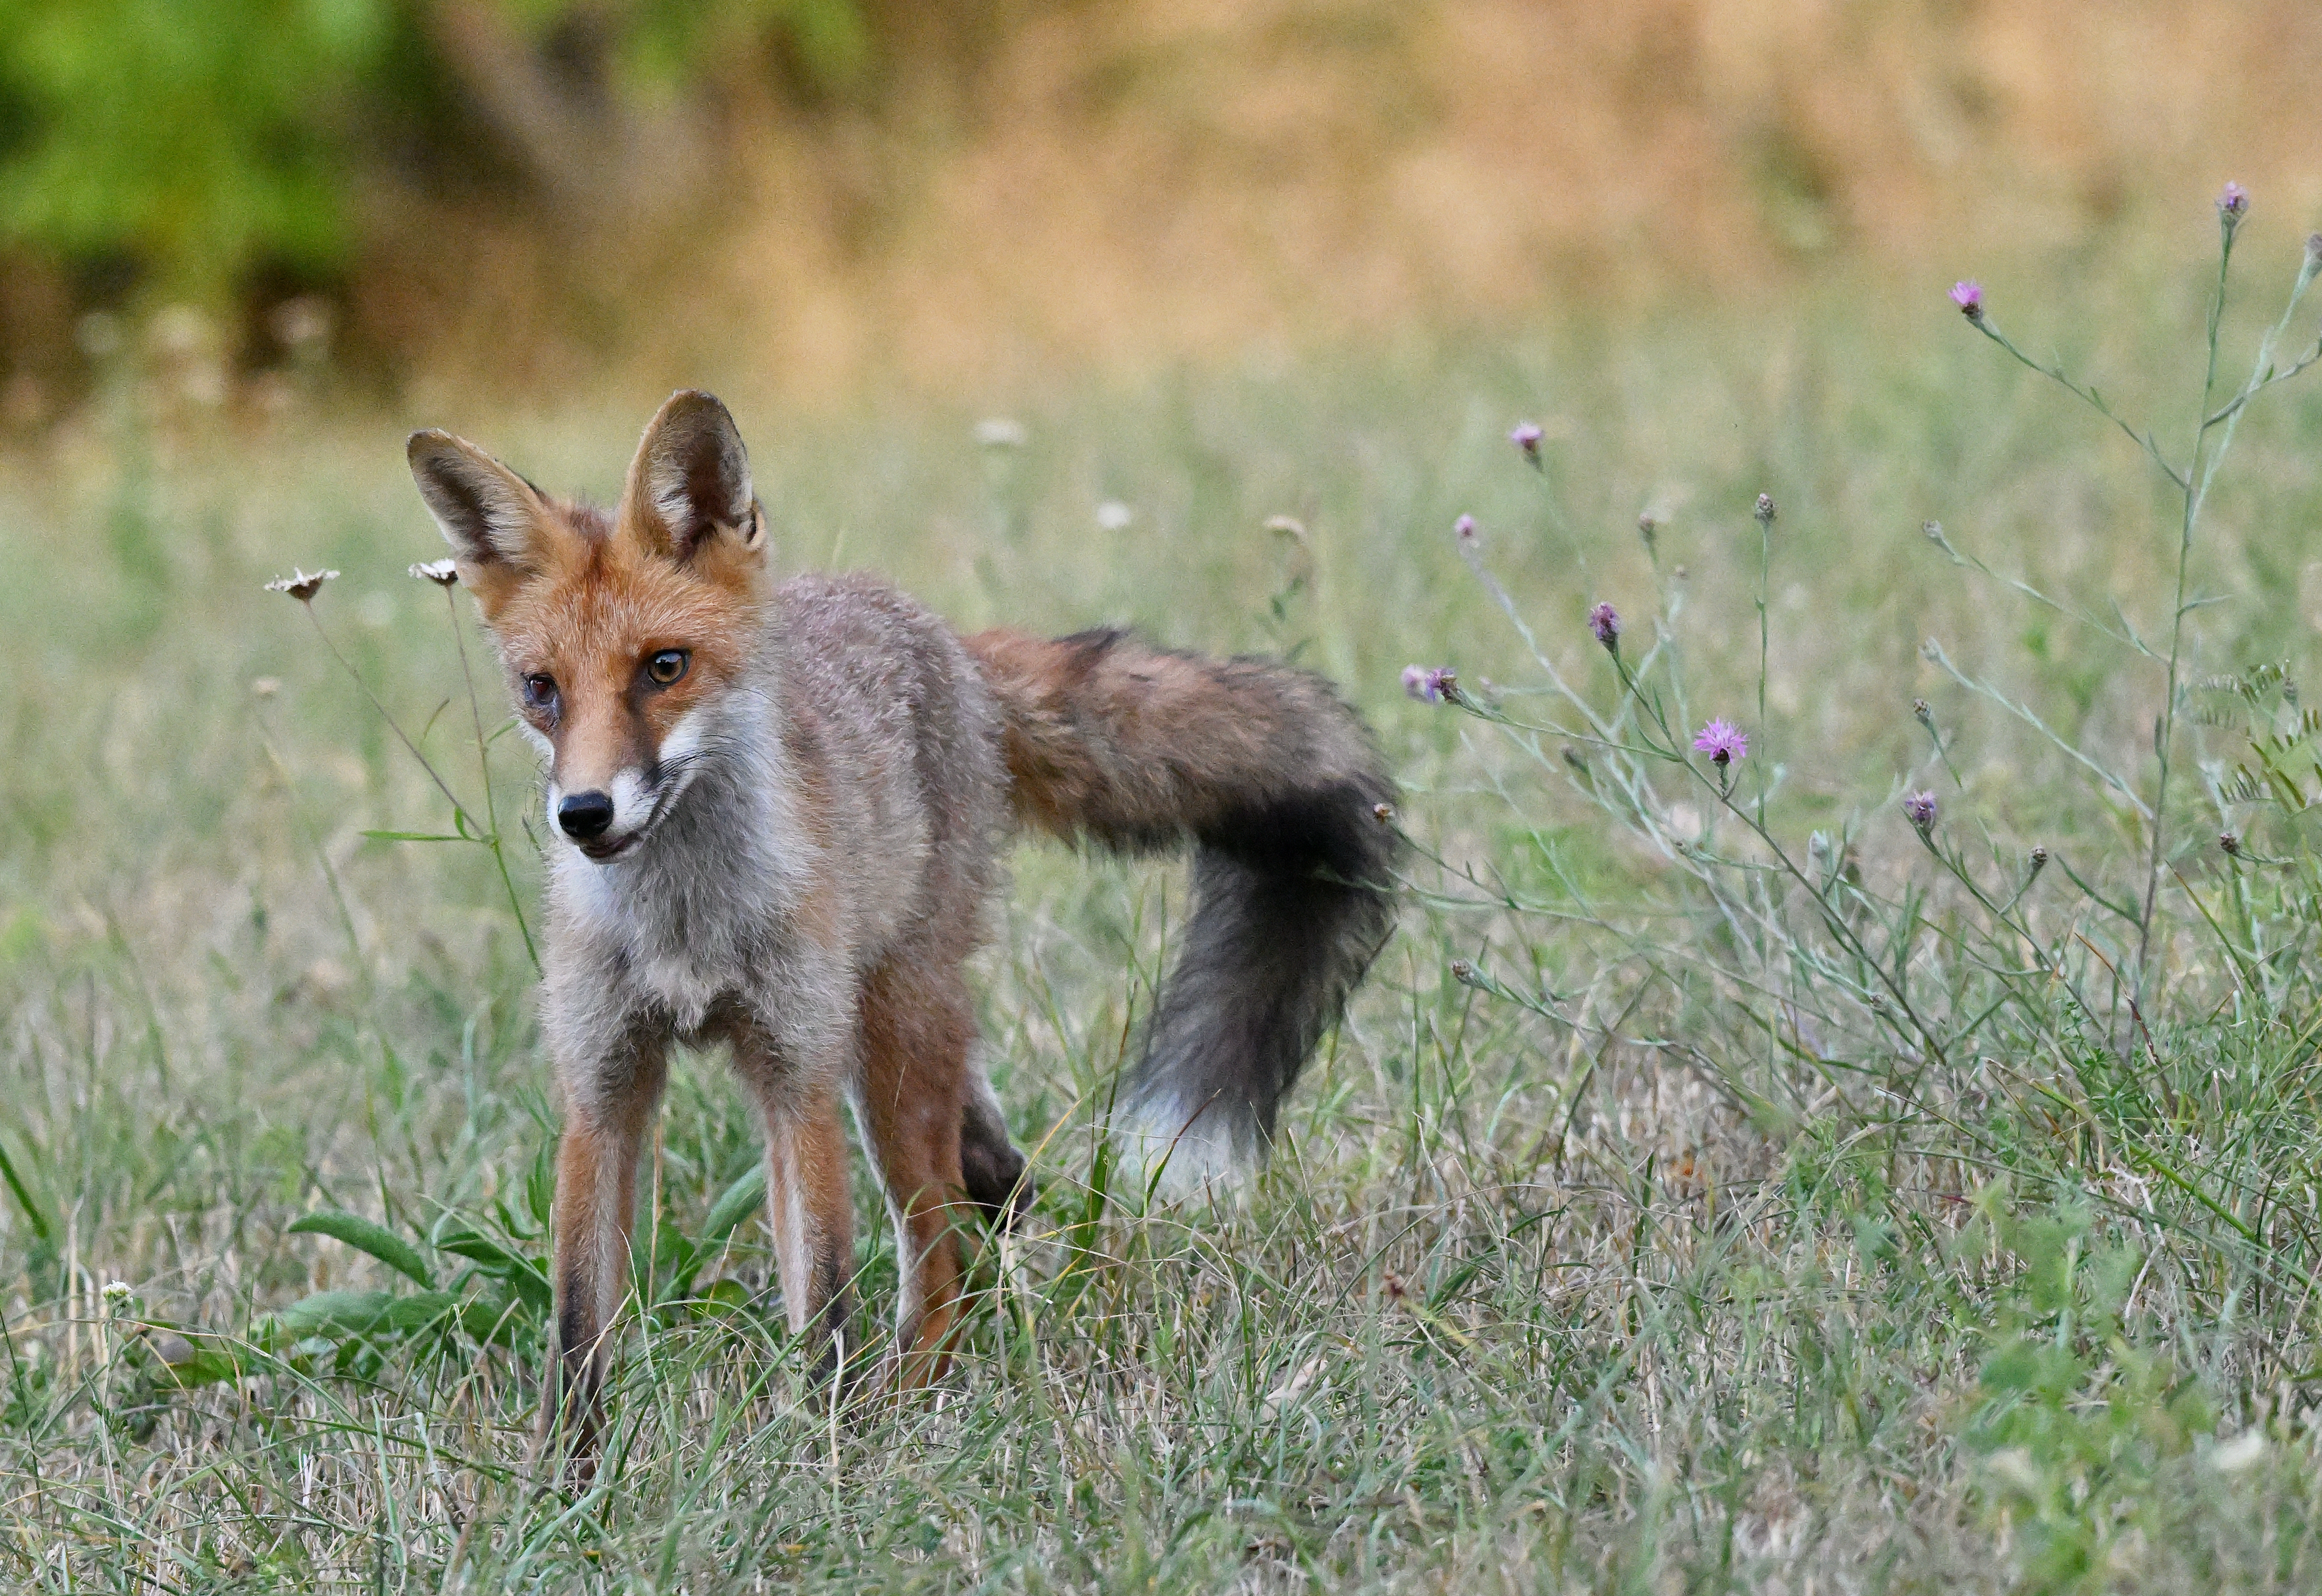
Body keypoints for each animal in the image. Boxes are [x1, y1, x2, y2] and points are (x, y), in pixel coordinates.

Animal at [404, 390, 1401, 1464]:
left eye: (664, 668)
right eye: (540, 688)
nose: (583, 814)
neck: (687, 928)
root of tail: (945, 640)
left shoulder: (796, 1072)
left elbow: (825, 1295)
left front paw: (822, 1452)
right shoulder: (602, 1082)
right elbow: (577, 1318)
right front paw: (572, 1474)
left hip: (885, 1042)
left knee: (940, 1241)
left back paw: (907, 1393)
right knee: (988, 1178)